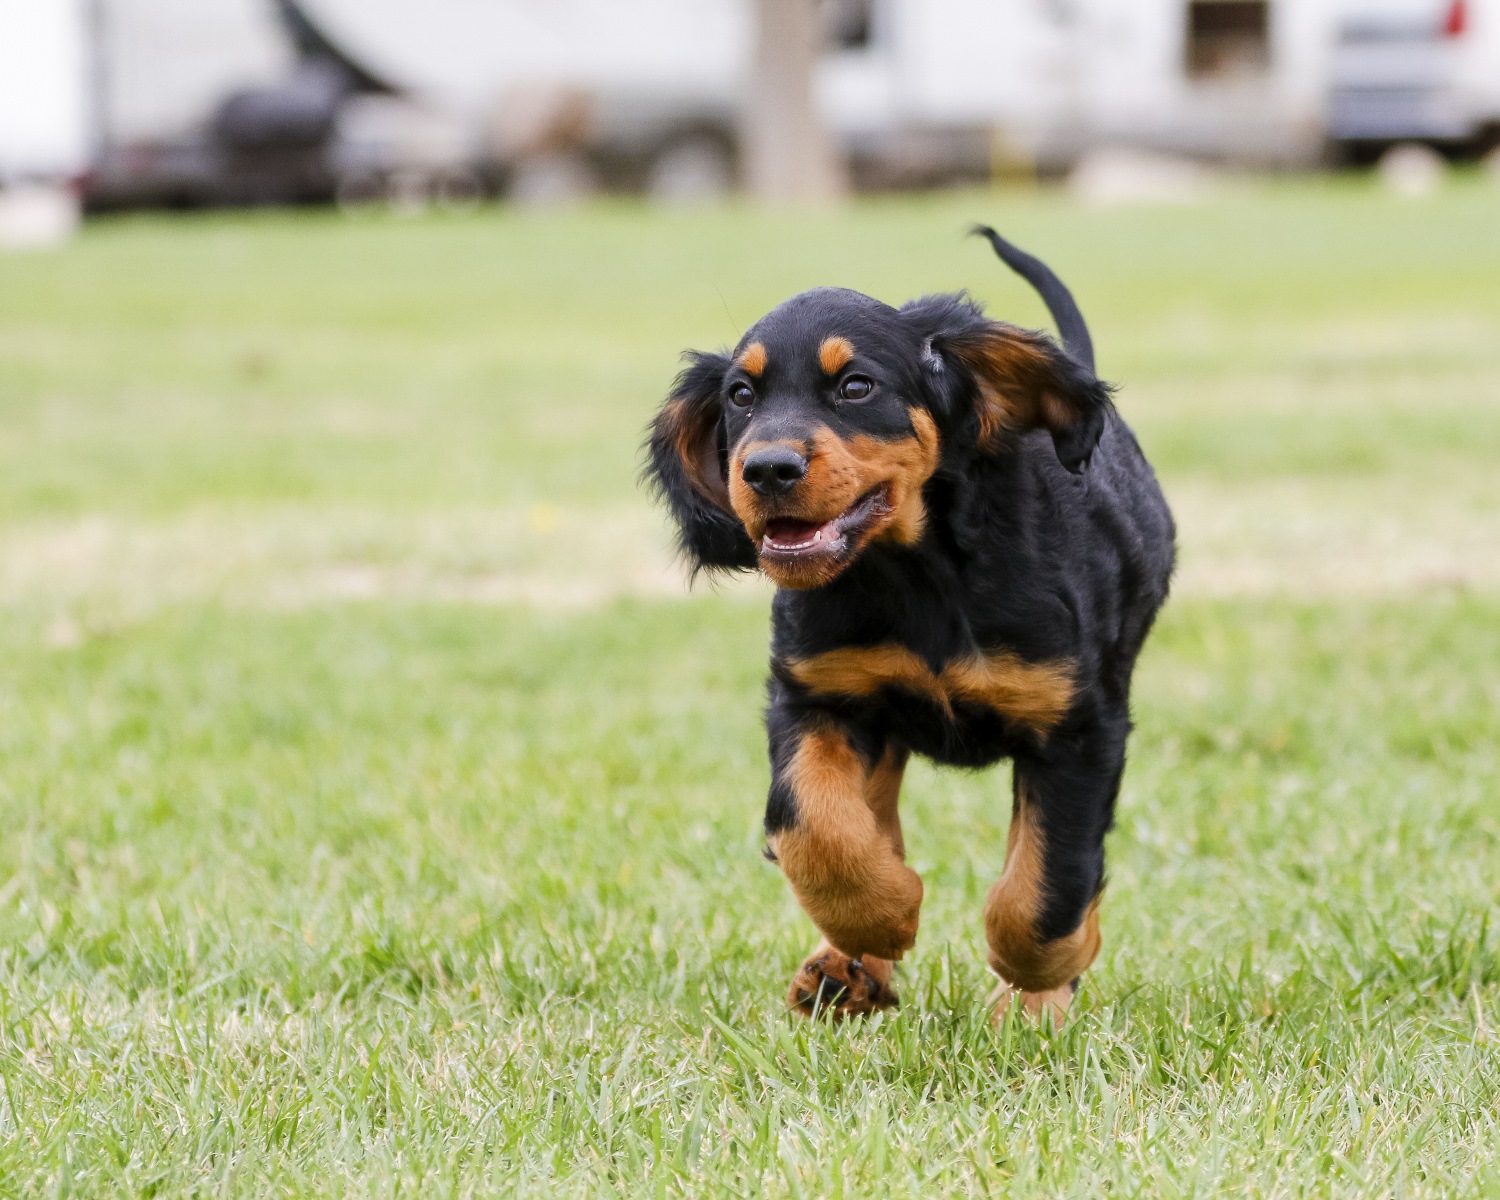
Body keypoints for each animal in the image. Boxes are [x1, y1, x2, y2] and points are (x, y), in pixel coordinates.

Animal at [645, 228, 1170, 1020]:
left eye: (856, 387)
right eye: (740, 395)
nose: (765, 470)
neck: (916, 572)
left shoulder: (1078, 725)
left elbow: (1048, 885)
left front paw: (1040, 987)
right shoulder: (816, 695)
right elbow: (812, 824)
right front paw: (879, 918)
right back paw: (843, 966)